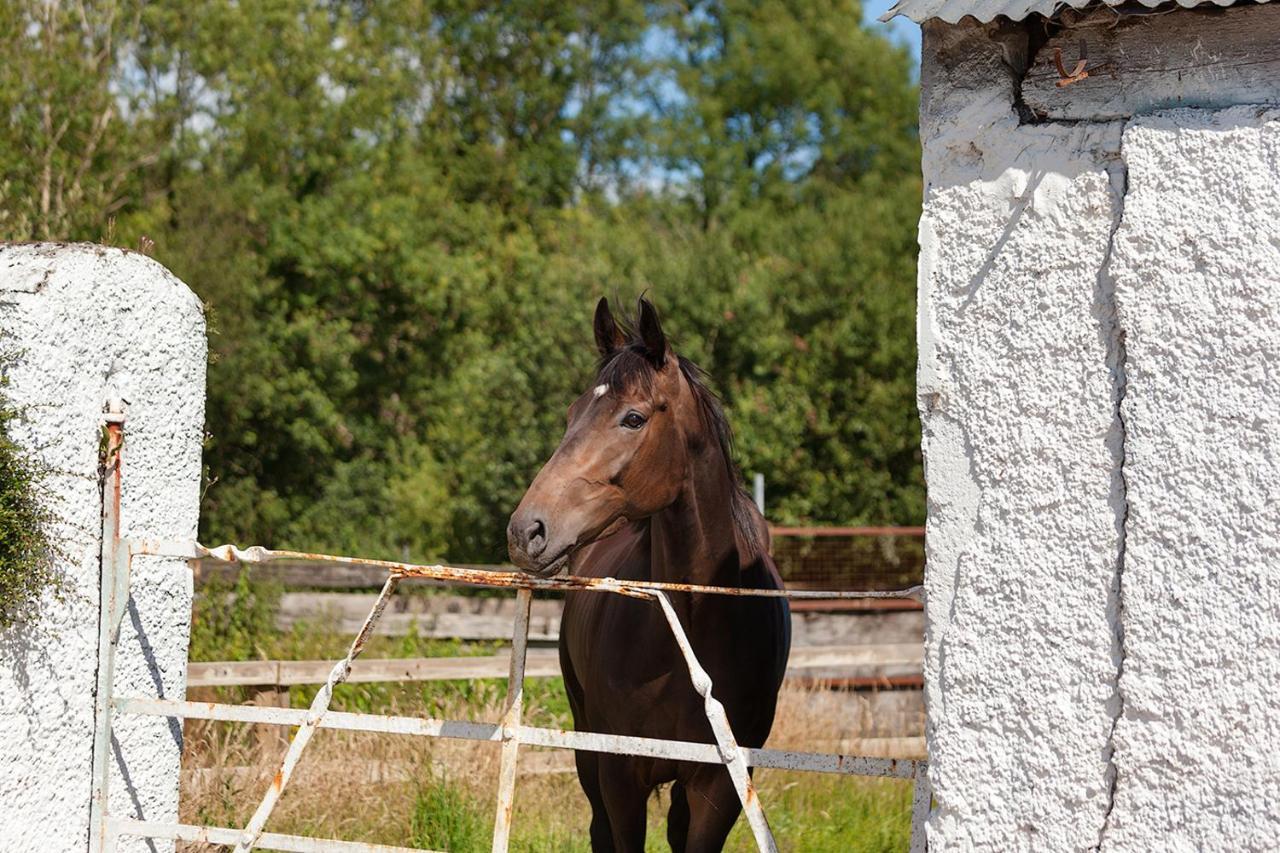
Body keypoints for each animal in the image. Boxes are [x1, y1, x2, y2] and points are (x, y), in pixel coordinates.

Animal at [506, 295, 788, 845]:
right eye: (572, 414)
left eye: (633, 418)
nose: (527, 530)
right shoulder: (620, 775)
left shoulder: (719, 787)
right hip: (587, 747)